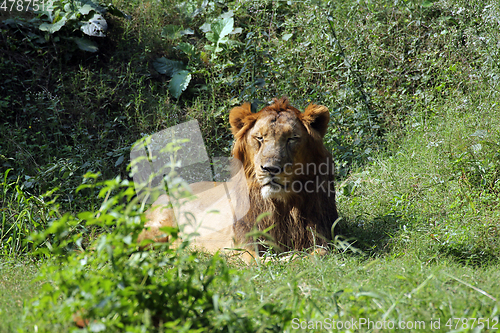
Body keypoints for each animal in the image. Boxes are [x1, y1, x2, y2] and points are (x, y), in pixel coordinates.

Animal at [139, 97, 338, 260]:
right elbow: (260, 261)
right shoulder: (243, 244)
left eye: (292, 138)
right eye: (259, 138)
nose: (270, 169)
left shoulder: (322, 235)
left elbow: (320, 254)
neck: (282, 204)